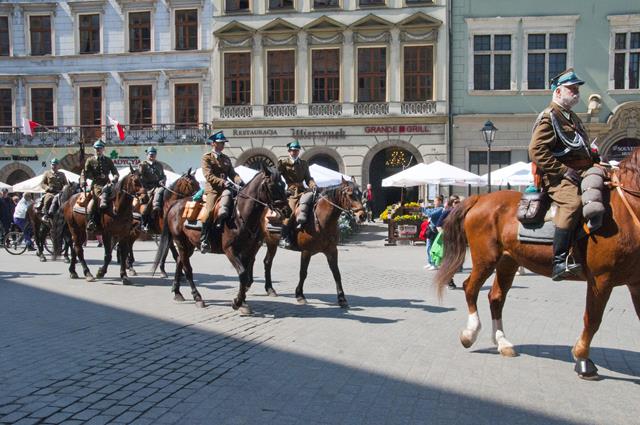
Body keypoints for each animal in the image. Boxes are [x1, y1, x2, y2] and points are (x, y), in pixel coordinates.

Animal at [151, 166, 286, 312]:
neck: (240, 215)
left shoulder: (248, 250)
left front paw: (243, 302)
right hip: (180, 242)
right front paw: (237, 302)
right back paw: (197, 298)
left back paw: (177, 292)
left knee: (179, 262)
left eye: (283, 184)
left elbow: (244, 275)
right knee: (187, 269)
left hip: (189, 245)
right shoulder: (230, 250)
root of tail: (175, 204)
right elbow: (242, 273)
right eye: (272, 185)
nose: (286, 210)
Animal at [256, 177, 364, 306]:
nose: (362, 215)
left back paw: (270, 289)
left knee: (267, 262)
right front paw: (300, 295)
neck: (321, 220)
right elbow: (303, 272)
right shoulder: (306, 251)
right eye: (350, 195)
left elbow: (336, 273)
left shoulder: (332, 250)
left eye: (361, 194)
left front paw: (342, 298)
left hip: (271, 244)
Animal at [438, 149, 640, 378]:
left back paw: (502, 342)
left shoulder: (636, 283)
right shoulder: (601, 279)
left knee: (496, 297)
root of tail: (481, 198)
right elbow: (593, 319)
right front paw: (582, 359)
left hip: (508, 262)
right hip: (485, 259)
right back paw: (470, 333)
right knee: (470, 288)